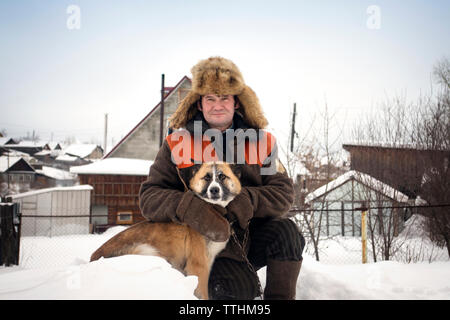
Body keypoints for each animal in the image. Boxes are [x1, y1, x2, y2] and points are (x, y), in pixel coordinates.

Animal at [89, 162, 241, 300]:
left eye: (222, 176)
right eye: (206, 178)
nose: (214, 190)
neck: (214, 210)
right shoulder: (198, 265)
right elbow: (203, 293)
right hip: (147, 250)